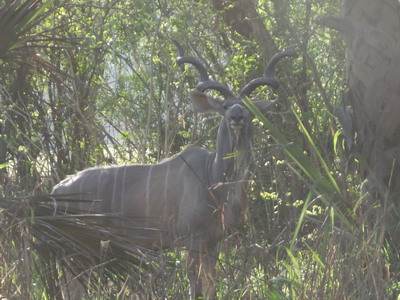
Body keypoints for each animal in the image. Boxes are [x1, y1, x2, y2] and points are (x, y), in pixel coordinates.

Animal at [52, 42, 296, 300]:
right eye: (226, 106)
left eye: (248, 107)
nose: (237, 116)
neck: (212, 176)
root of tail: (57, 189)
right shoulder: (192, 238)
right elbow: (194, 286)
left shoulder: (213, 241)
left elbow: (210, 285)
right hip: (77, 248)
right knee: (71, 286)